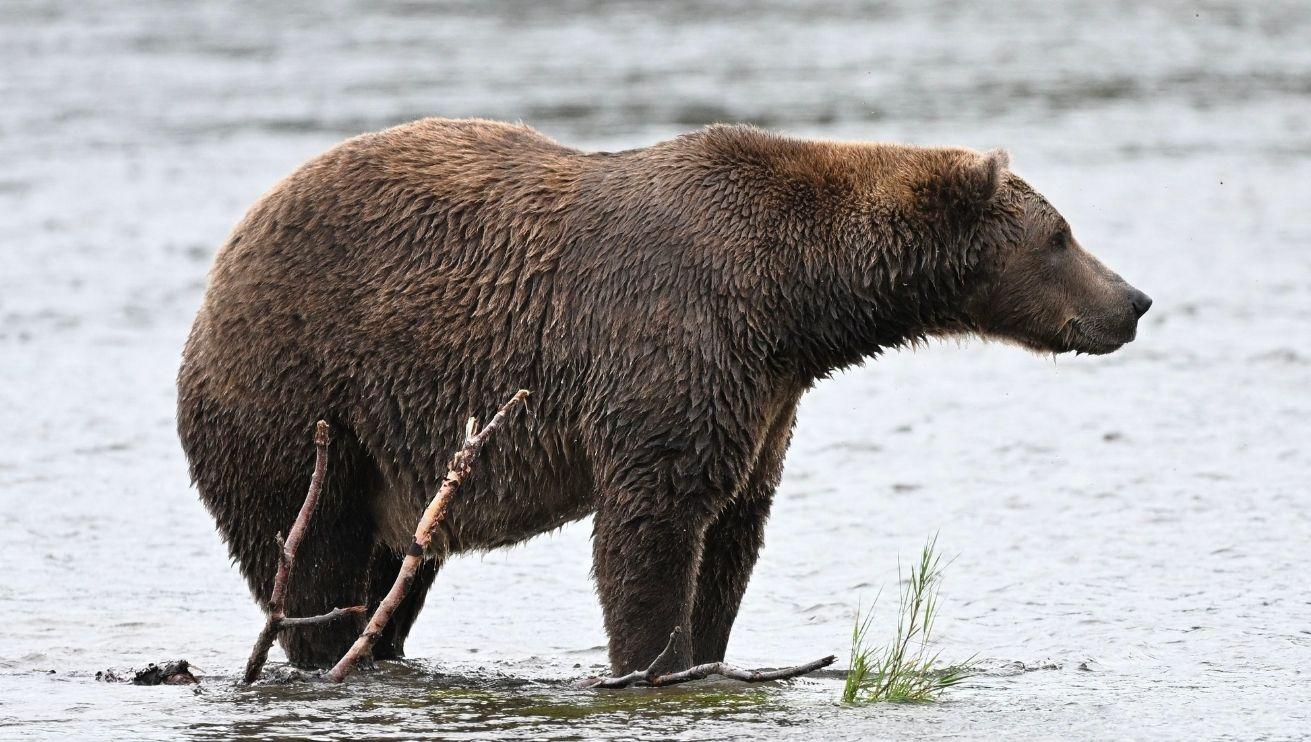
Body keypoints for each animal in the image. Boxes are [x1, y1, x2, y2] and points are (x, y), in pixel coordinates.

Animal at [177, 118, 1151, 675]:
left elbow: (732, 531)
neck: (793, 300)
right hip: (300, 394)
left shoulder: (762, 396)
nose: (1133, 301)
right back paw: (323, 650)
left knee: (394, 573)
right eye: (1061, 235)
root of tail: (220, 271)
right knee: (310, 554)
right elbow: (653, 526)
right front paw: (653, 658)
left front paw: (708, 652)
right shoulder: (671, 345)